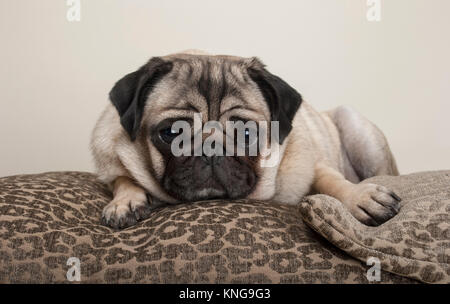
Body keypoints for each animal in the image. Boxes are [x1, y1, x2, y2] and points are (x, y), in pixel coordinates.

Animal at [89, 50, 400, 230]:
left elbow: (331, 180)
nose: (211, 149)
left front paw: (359, 197)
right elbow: (122, 177)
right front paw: (126, 201)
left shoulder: (312, 162)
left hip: (355, 125)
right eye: (171, 133)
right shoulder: (111, 159)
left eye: (247, 133)